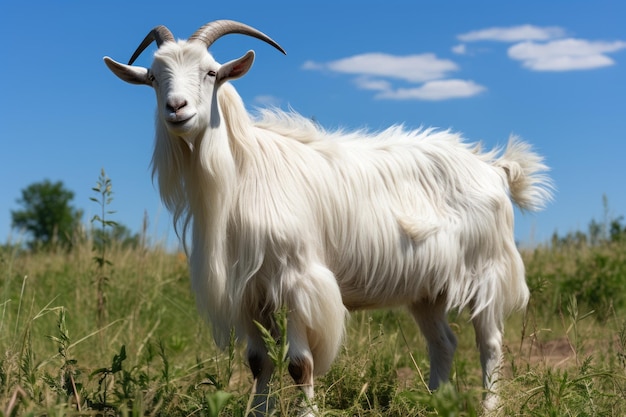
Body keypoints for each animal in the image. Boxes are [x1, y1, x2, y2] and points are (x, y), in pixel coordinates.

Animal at [103, 21, 552, 414]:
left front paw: (307, 413)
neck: (244, 173)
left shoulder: (298, 280)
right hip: (427, 290)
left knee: (489, 343)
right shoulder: (247, 292)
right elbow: (258, 362)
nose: (176, 108)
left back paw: (489, 406)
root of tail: (494, 167)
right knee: (443, 342)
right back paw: (434, 402)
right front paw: (260, 412)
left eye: (211, 72)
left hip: (486, 271)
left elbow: (299, 364)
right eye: (154, 77)